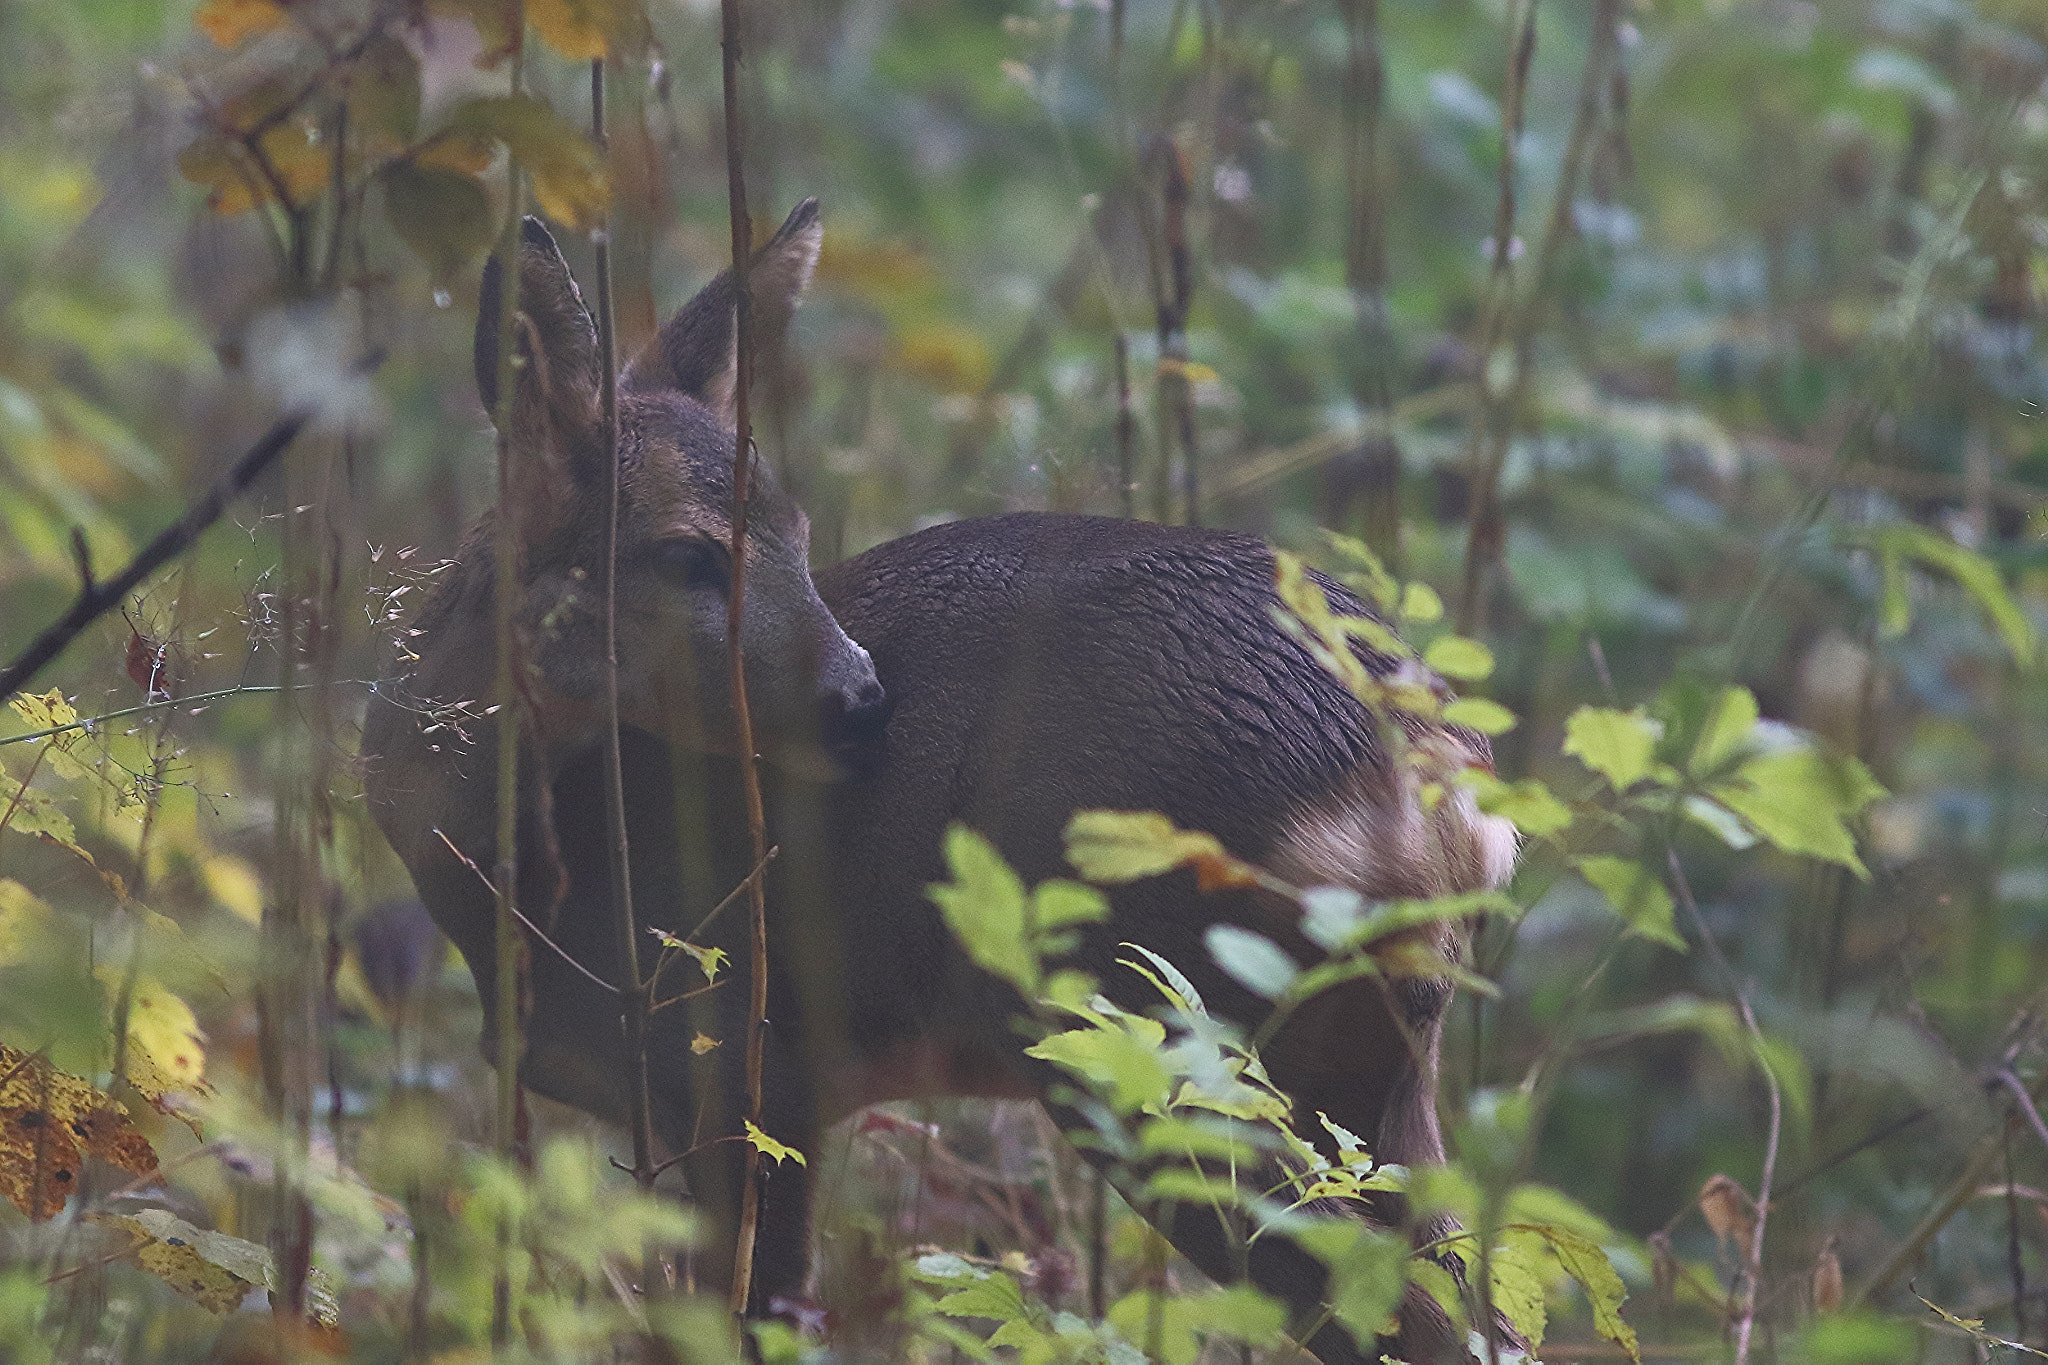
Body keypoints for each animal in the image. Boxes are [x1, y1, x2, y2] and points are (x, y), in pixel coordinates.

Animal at [360, 200, 1518, 1364]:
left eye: (797, 533)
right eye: (687, 554)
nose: (862, 694)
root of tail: (1424, 766)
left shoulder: (752, 1066)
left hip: (1165, 1038)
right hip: (1365, 1080)